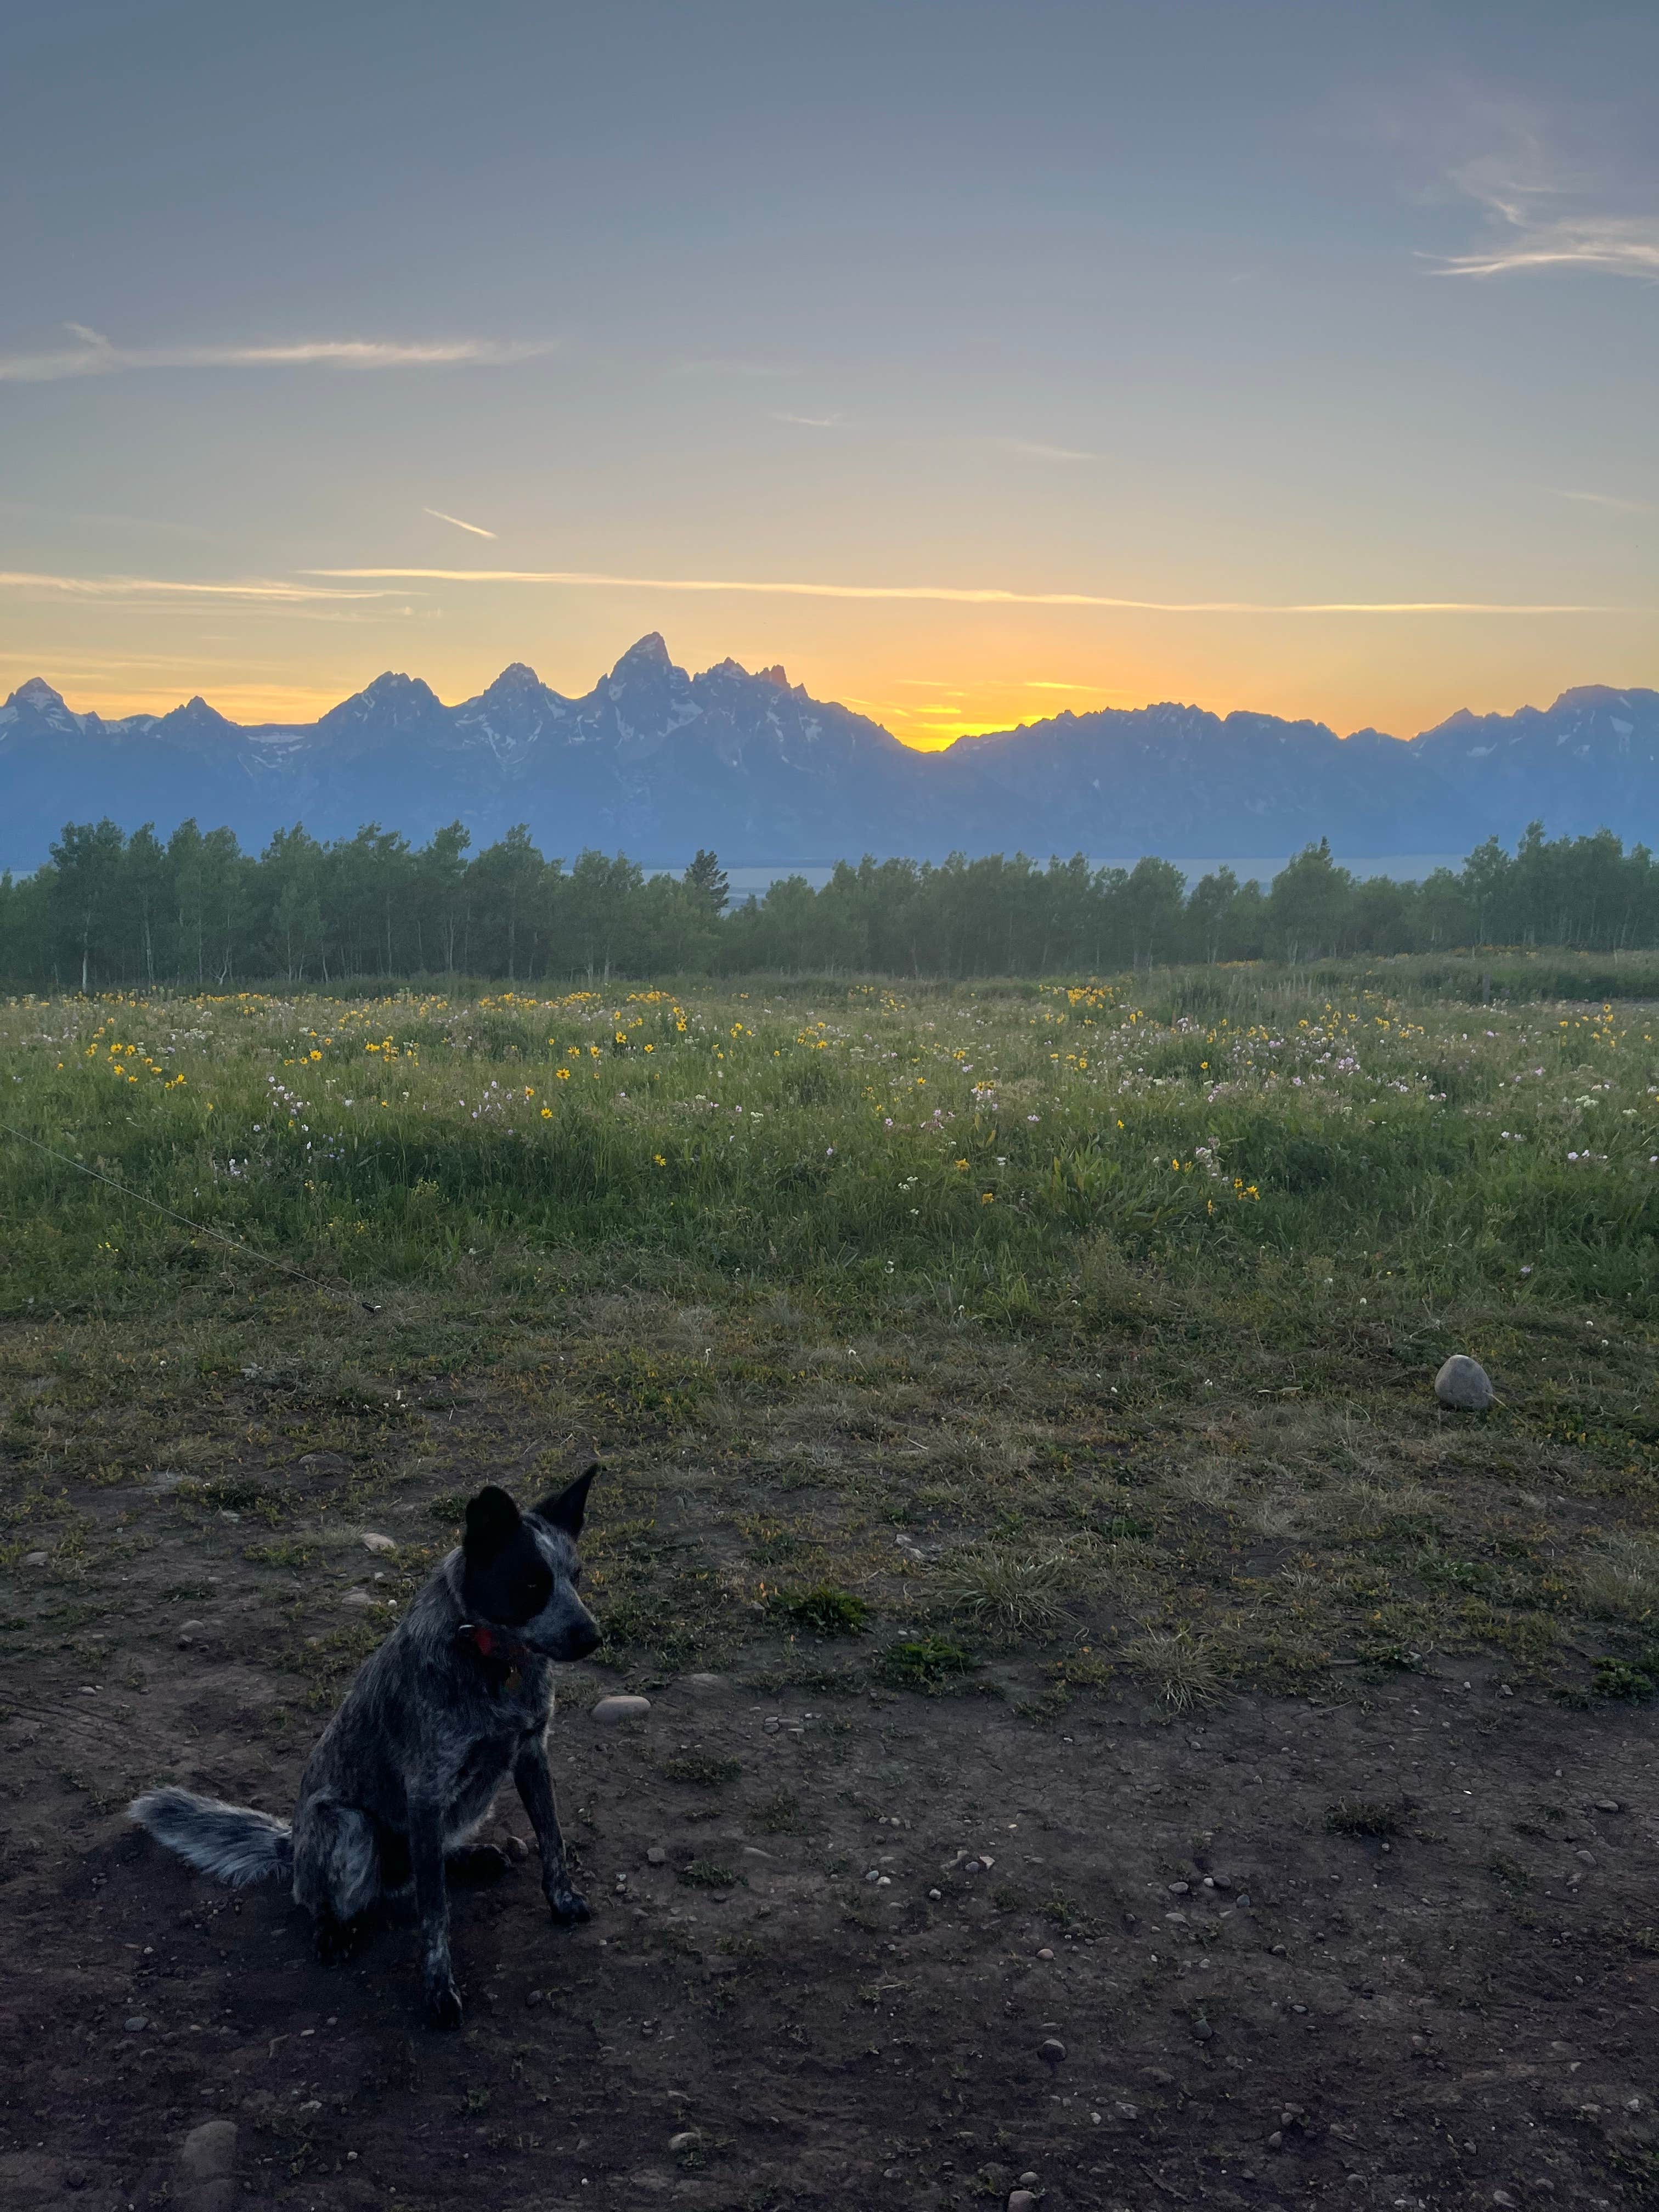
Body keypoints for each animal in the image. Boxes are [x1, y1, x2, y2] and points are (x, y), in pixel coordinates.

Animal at [129, 1469, 601, 2026]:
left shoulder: (530, 1754)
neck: (494, 1661)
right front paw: (438, 1989)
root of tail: (292, 1844)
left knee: (423, 1868)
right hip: (351, 1826)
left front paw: (562, 1902)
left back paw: (465, 1859)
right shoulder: (427, 1790)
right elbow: (435, 1914)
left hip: (467, 1805)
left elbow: (553, 1841)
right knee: (333, 1898)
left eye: (576, 1577)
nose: (594, 1637)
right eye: (531, 1583)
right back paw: (333, 1929)